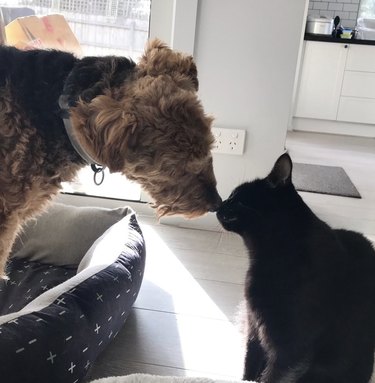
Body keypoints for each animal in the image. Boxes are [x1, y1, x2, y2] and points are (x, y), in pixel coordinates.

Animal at [217, 154, 375, 383]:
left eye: (236, 197)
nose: (219, 203)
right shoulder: (254, 328)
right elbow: (249, 366)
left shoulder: (291, 351)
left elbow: (272, 376)